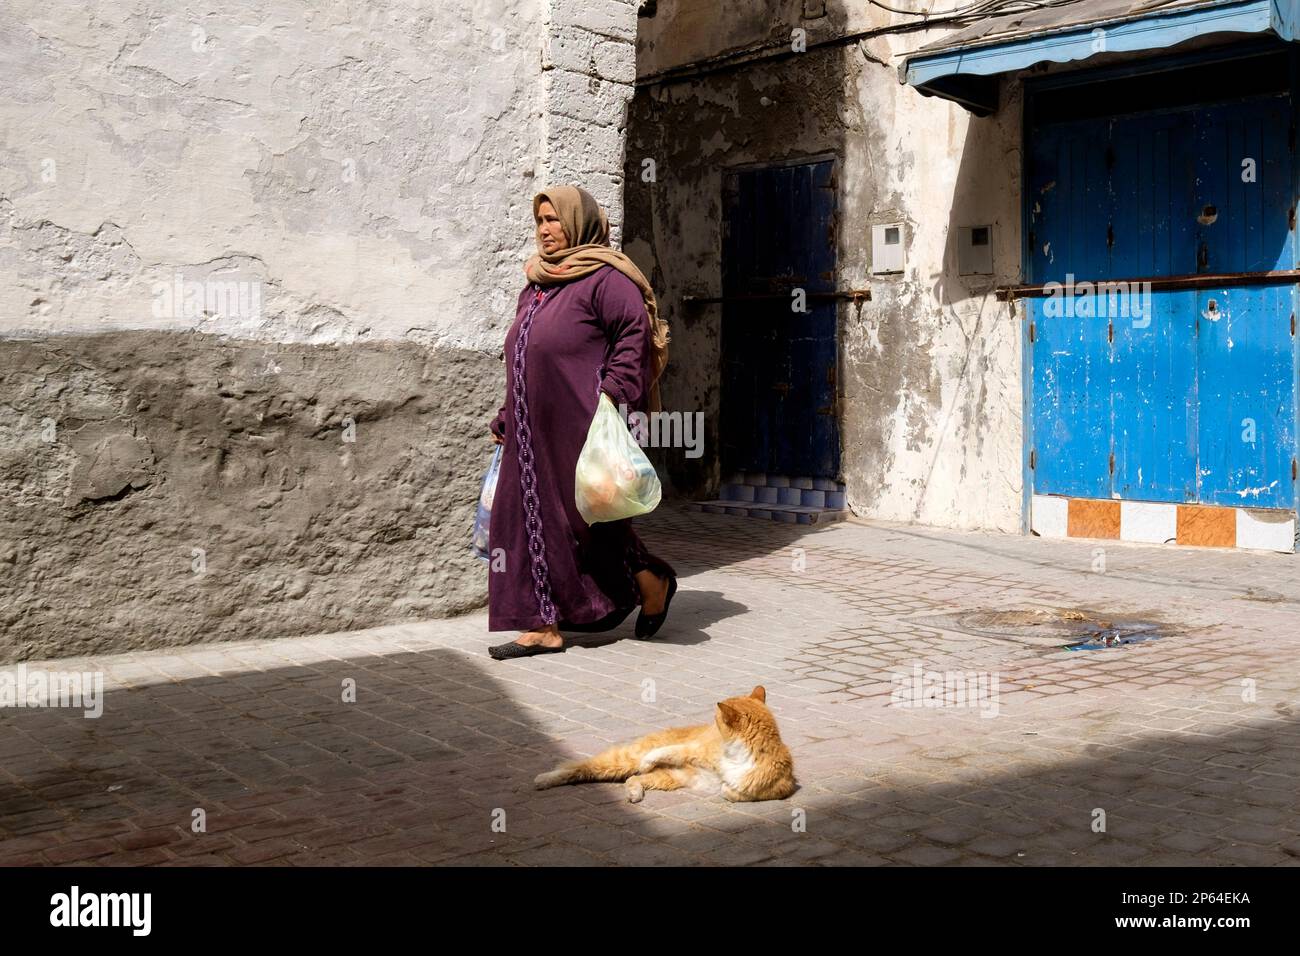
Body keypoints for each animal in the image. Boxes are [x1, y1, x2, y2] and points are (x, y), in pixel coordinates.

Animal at [533, 686, 795, 806]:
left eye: (717, 719)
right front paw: (649, 759)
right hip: (622, 760)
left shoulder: (779, 788)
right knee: (579, 767)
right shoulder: (693, 749)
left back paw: (634, 792)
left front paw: (726, 787)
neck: (735, 755)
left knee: (634, 778)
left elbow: (730, 791)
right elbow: (668, 751)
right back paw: (545, 779)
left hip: (670, 778)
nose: (711, 722)